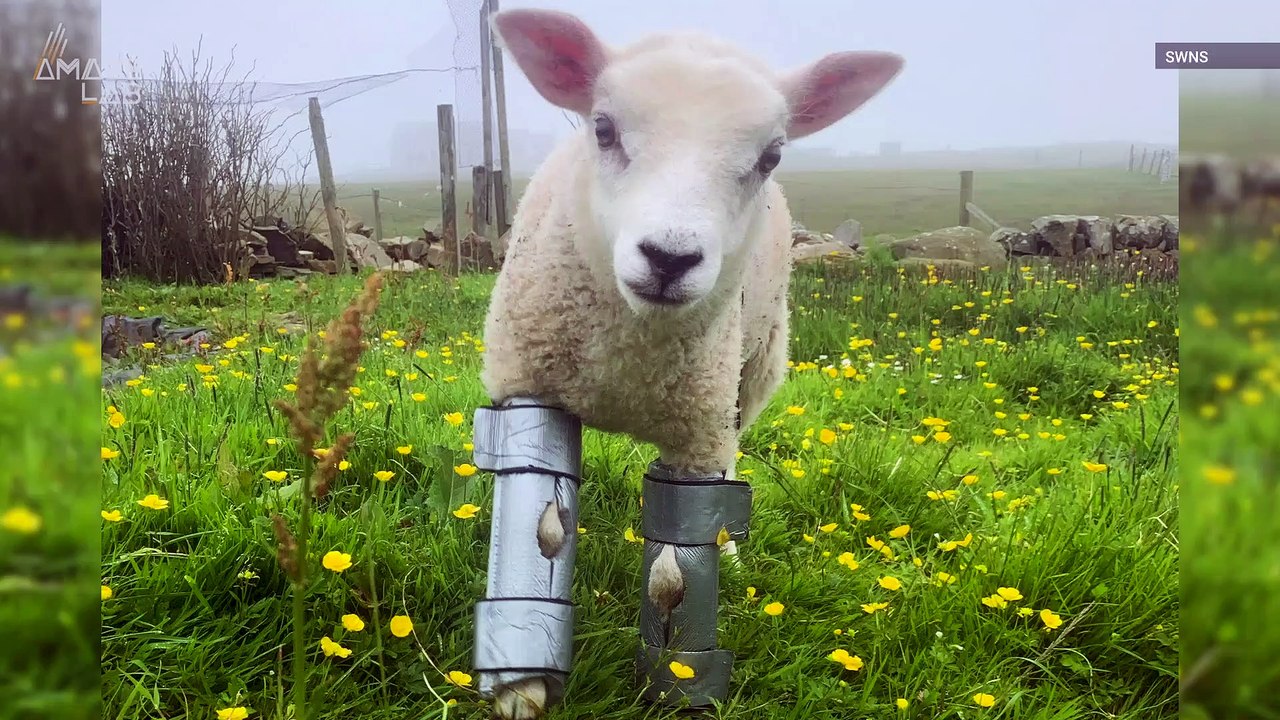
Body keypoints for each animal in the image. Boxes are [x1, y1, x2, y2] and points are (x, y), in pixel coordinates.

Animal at [477, 8, 902, 718]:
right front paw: (522, 688)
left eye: (770, 155)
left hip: (748, 375)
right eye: (603, 128)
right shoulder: (529, 384)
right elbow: (543, 520)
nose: (669, 257)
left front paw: (677, 677)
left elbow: (674, 570)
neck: (626, 361)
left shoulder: (697, 433)